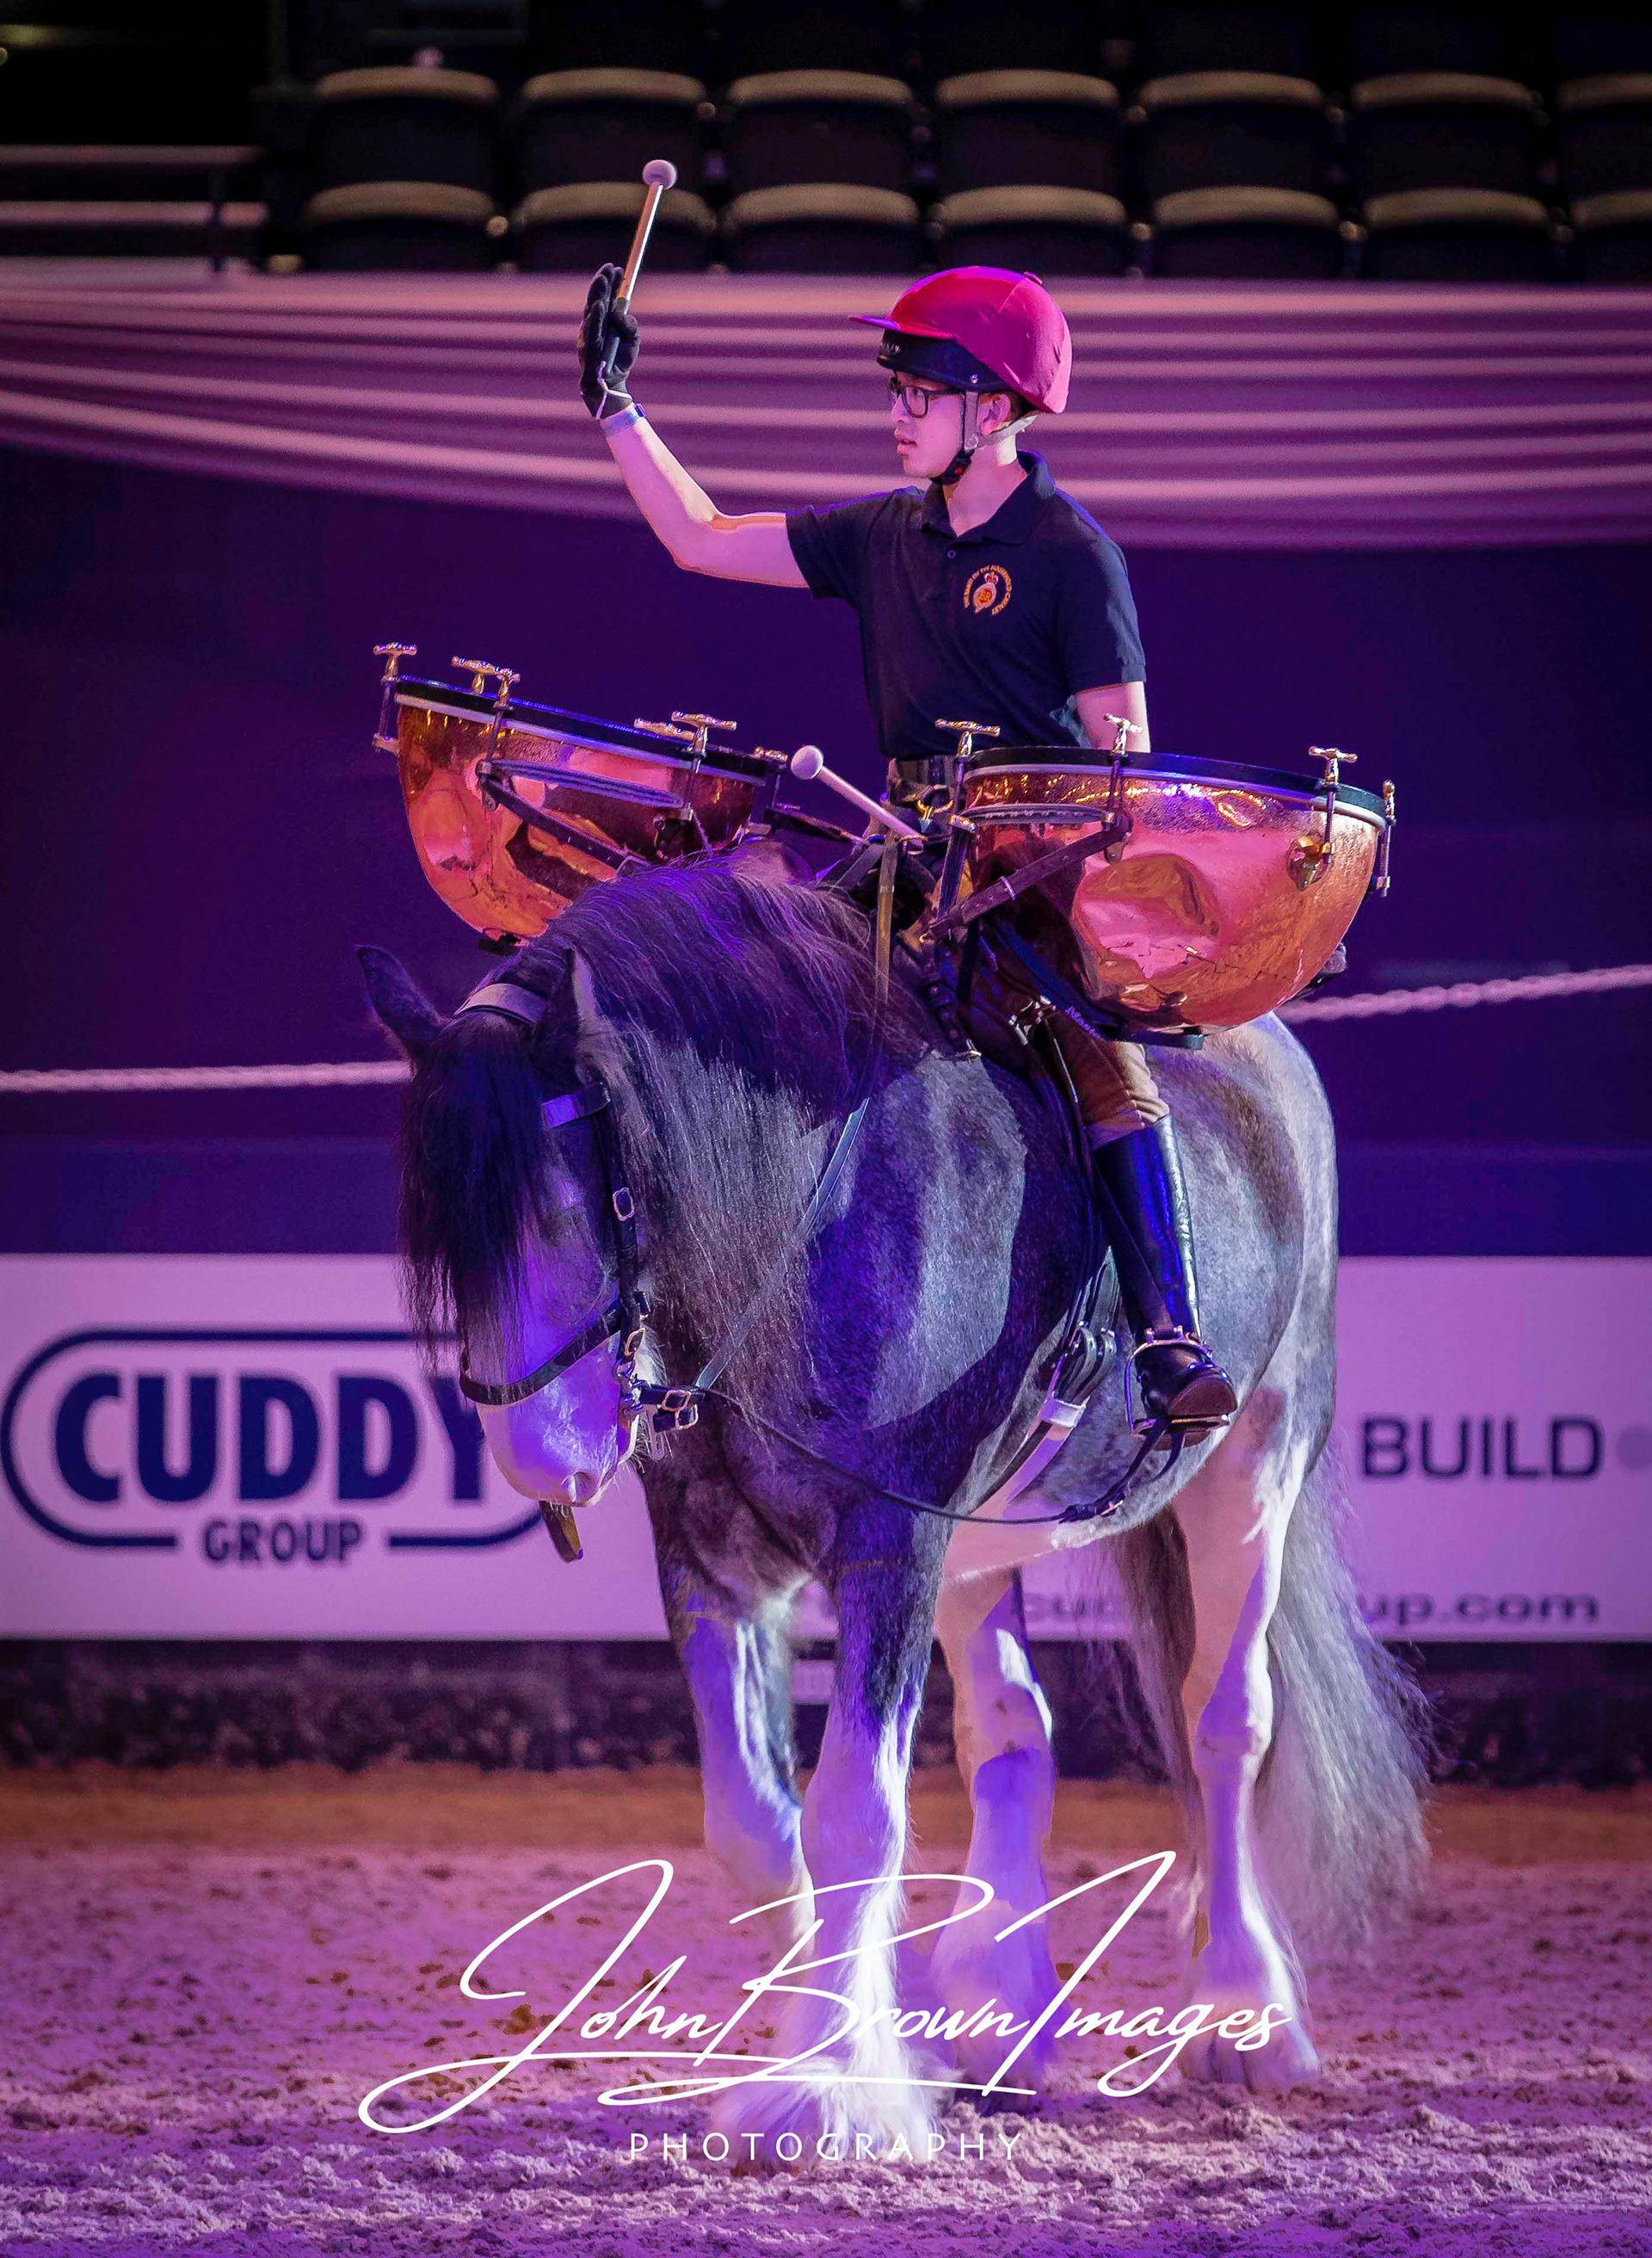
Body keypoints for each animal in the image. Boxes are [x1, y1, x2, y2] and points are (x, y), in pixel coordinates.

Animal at [358, 857, 1433, 2155]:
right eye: (447, 1240)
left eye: (582, 1205)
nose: (543, 1456)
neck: (803, 1215)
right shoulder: (710, 1558)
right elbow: (756, 1829)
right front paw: (855, 2047)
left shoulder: (891, 1544)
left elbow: (853, 1815)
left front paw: (820, 2089)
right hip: (979, 1552)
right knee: (1015, 1736)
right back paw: (1003, 2023)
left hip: (1253, 1471)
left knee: (1225, 1726)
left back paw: (1245, 2016)